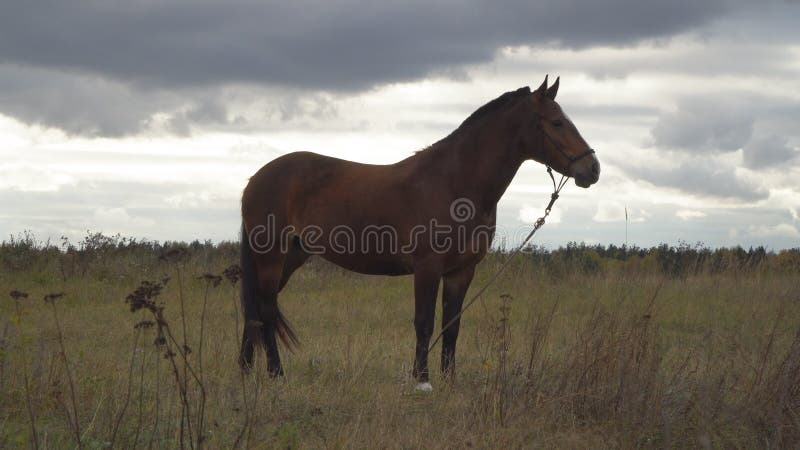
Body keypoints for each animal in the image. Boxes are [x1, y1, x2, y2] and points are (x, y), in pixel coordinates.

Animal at [238, 74, 600, 390]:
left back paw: (245, 368)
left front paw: (450, 381)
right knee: (266, 309)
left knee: (256, 308)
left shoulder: (461, 271)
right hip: (271, 257)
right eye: (557, 122)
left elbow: (451, 326)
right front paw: (422, 381)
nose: (592, 169)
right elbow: (424, 322)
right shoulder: (427, 267)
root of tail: (256, 179)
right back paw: (275, 374)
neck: (454, 182)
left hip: (290, 257)